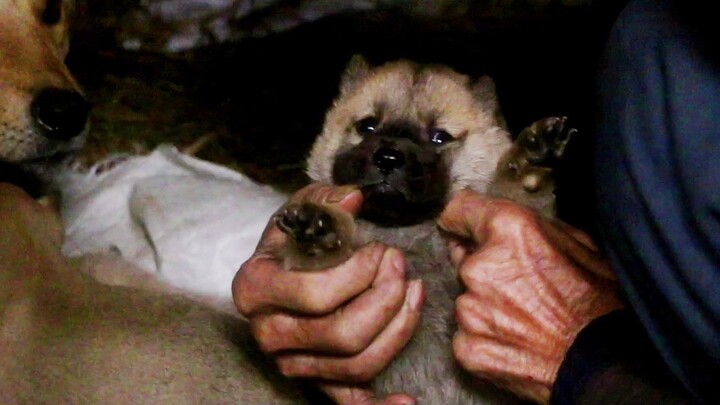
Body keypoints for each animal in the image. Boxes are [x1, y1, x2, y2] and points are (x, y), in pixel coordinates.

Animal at [274, 56, 572, 400]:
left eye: (439, 137)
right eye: (367, 126)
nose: (388, 157)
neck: (407, 231)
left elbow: (517, 200)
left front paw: (527, 166)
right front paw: (318, 232)